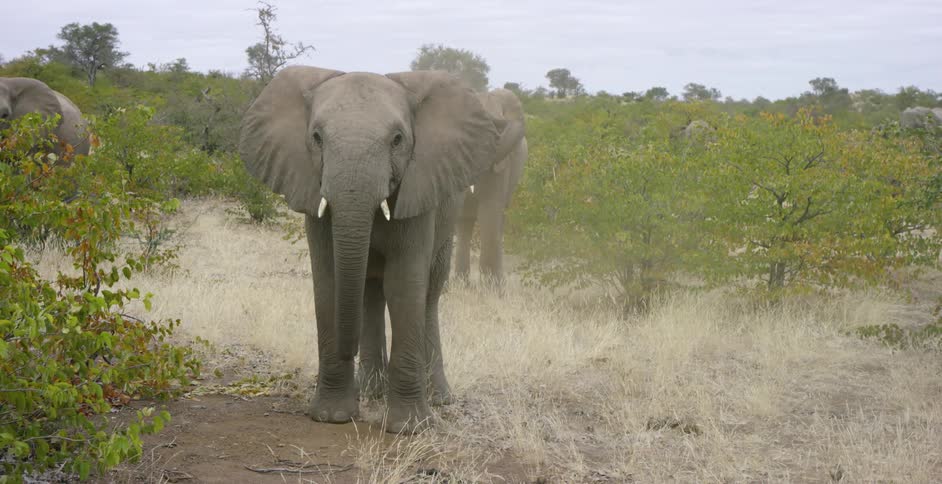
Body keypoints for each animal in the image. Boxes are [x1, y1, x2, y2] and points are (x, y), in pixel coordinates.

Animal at [239, 66, 510, 433]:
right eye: (316, 137)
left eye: (397, 139)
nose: (346, 350)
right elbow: (329, 282)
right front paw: (333, 417)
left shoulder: (418, 189)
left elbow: (404, 285)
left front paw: (408, 428)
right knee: (369, 292)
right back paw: (372, 390)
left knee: (428, 295)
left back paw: (437, 397)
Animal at [454, 88, 528, 286]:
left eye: (497, 132)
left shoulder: (501, 162)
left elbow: (490, 211)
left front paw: (492, 289)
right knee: (464, 224)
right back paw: (460, 284)